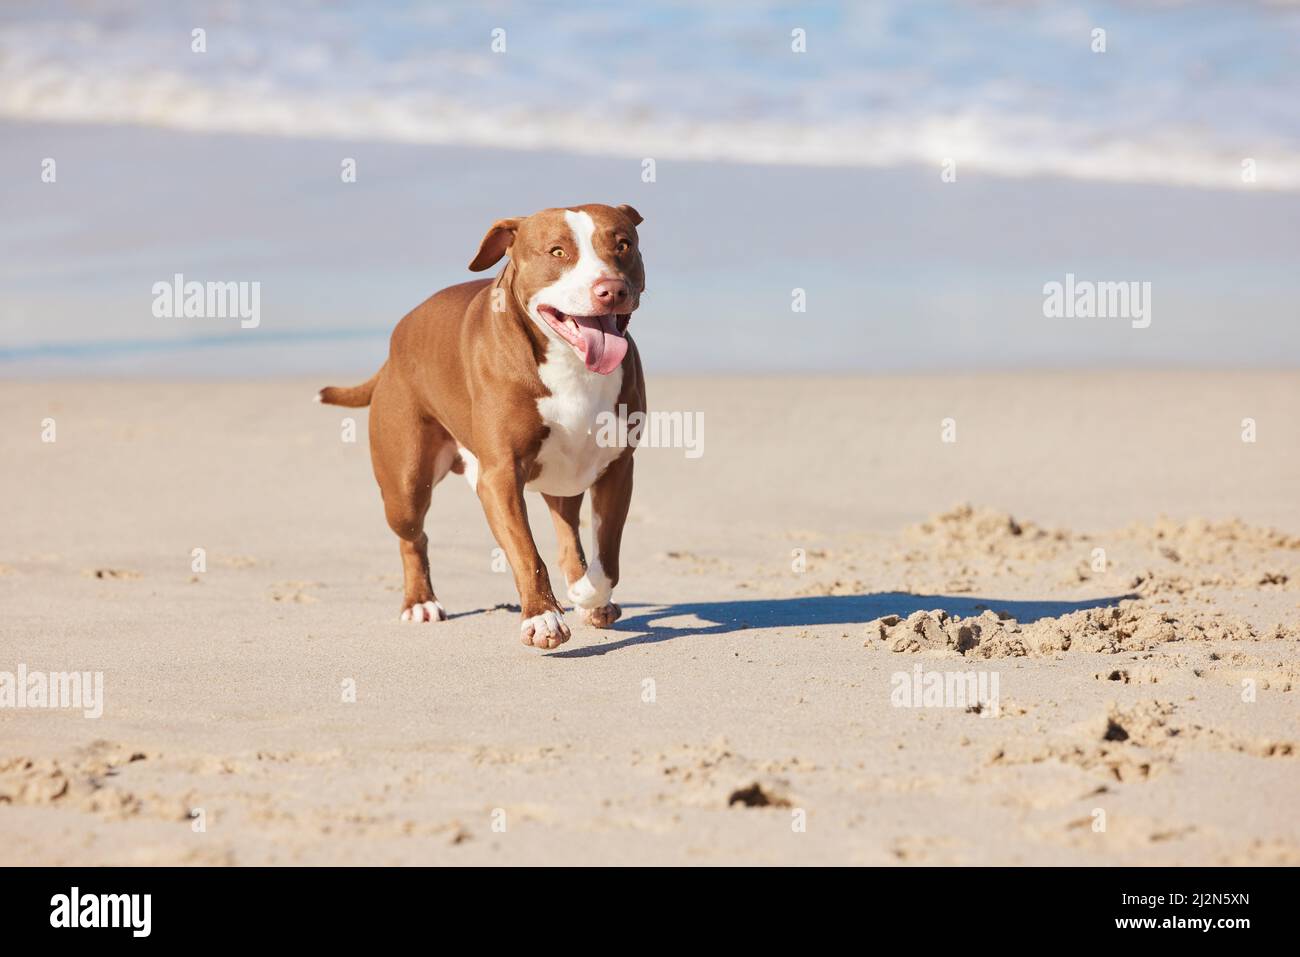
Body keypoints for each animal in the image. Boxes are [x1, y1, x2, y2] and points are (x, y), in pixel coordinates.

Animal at [319, 201, 644, 650]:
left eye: (623, 244)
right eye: (558, 252)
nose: (610, 289)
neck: (570, 365)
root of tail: (392, 348)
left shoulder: (618, 467)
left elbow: (608, 554)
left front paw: (588, 595)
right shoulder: (501, 476)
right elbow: (525, 550)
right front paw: (542, 617)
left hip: (564, 480)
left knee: (568, 536)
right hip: (405, 485)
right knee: (413, 536)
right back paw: (420, 602)